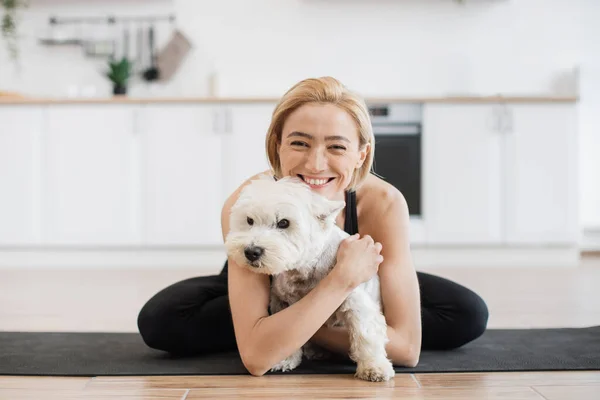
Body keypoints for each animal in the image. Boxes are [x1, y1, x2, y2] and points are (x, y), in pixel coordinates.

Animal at [224, 175, 394, 382]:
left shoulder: (356, 299)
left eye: (284, 223)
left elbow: (366, 334)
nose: (251, 252)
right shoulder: (282, 302)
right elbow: (287, 335)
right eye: (249, 220)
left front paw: (374, 367)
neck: (304, 271)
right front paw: (285, 359)